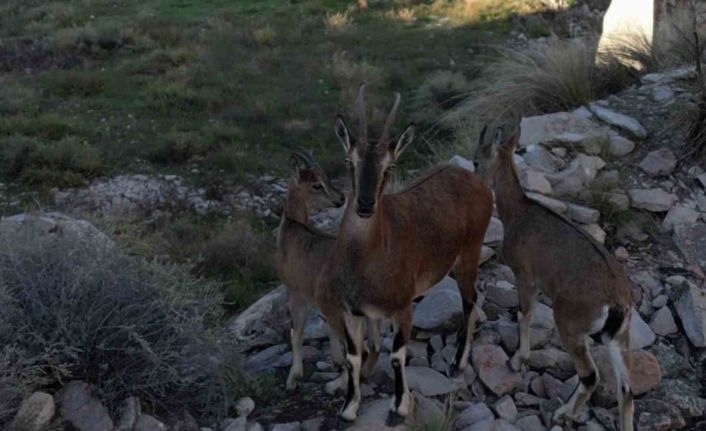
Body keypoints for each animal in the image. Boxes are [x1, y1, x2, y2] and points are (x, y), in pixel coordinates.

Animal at [274, 152, 380, 394]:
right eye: (317, 184)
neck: (291, 228)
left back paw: (336, 385)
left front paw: (293, 378)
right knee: (374, 346)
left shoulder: (296, 291)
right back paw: (364, 374)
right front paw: (335, 360)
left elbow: (296, 332)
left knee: (360, 350)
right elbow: (326, 328)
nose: (340, 198)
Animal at [322, 86, 492, 424]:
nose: (364, 205)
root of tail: (473, 178)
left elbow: (398, 356)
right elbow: (352, 356)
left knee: (470, 302)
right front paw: (348, 408)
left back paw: (458, 363)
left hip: (469, 253)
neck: (365, 261)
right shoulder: (351, 311)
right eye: (350, 160)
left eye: (390, 166)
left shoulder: (403, 308)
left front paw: (399, 406)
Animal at [472, 129, 632, 431]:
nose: (476, 182)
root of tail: (617, 303)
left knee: (590, 376)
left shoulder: (525, 276)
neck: (518, 211)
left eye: (476, 161)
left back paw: (564, 414)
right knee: (625, 391)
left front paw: (517, 361)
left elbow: (524, 315)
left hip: (569, 323)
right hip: (619, 338)